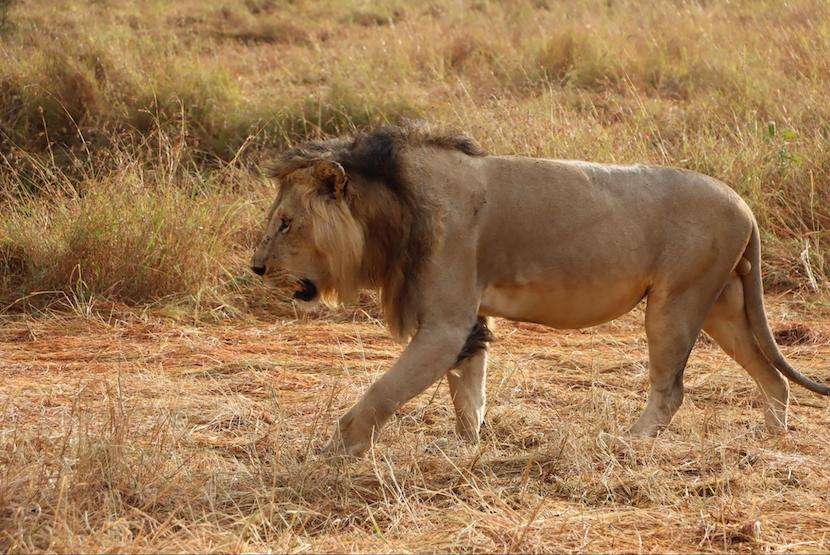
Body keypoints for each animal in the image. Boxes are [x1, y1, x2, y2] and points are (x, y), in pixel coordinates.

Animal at [250, 125, 828, 456]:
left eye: (285, 223)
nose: (256, 267)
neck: (393, 210)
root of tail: (744, 205)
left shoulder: (444, 324)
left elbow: (383, 391)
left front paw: (338, 448)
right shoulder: (468, 321)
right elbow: (468, 393)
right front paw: (466, 448)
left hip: (677, 302)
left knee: (672, 389)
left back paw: (628, 442)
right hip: (722, 305)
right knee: (771, 377)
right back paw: (772, 438)